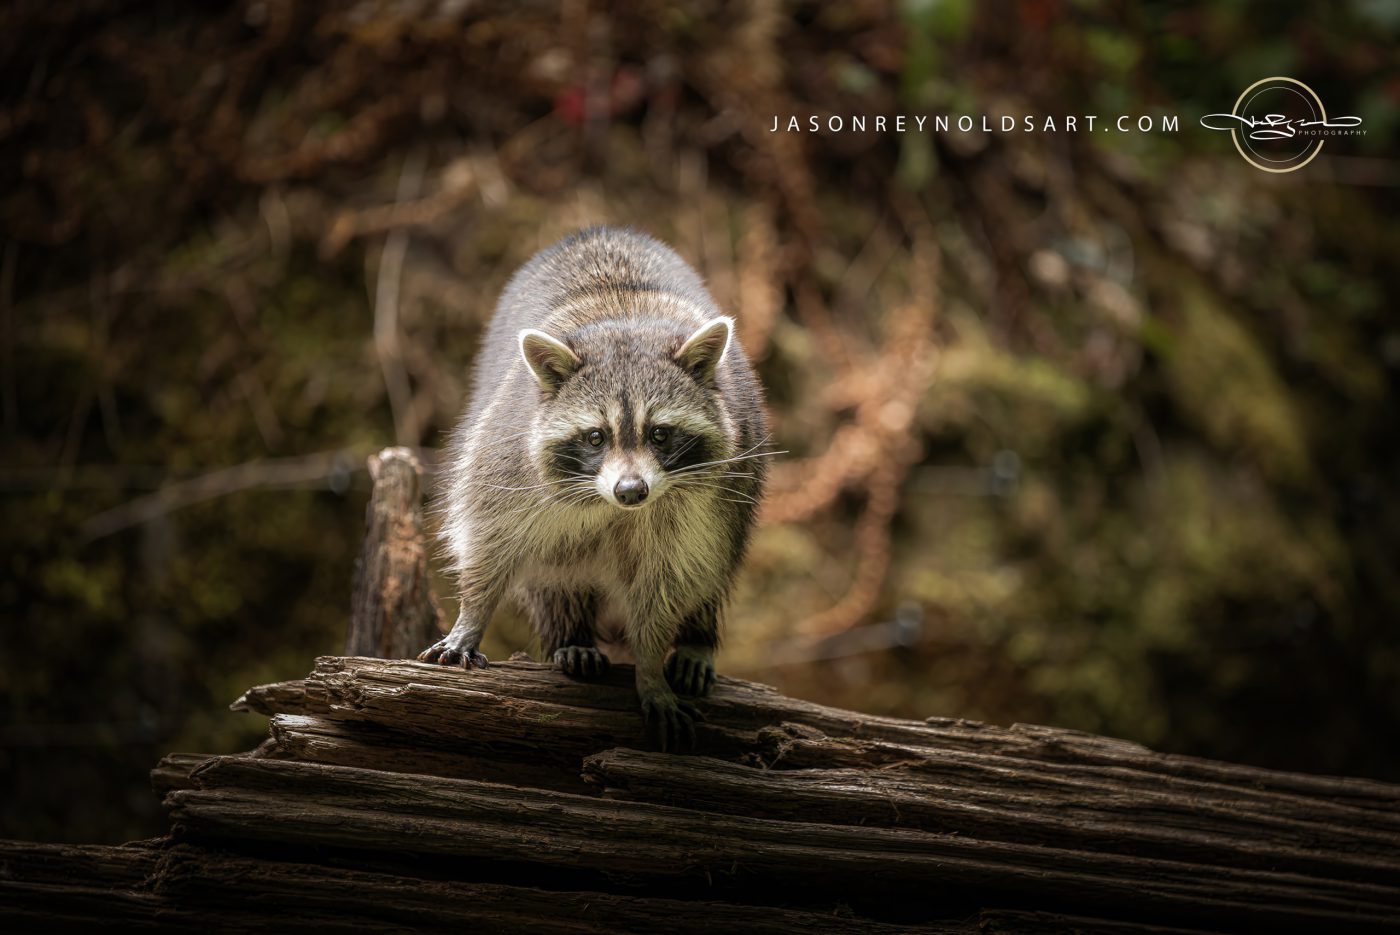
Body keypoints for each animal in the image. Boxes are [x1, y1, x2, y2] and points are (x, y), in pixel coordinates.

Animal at [419, 226, 770, 750]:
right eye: (595, 437)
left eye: (659, 434)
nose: (631, 491)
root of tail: (600, 231)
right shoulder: (506, 457)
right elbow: (489, 536)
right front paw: (472, 614)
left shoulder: (700, 503)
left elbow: (671, 576)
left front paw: (651, 665)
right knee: (554, 572)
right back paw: (572, 636)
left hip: (736, 499)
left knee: (712, 565)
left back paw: (696, 638)